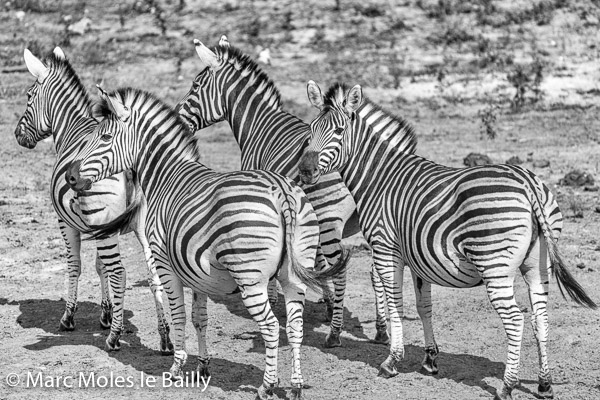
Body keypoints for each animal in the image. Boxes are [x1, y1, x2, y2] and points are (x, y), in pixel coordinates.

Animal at [14, 46, 172, 354]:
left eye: (28, 96)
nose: (17, 136)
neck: (71, 127)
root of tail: (132, 166)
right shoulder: (101, 226)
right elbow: (101, 267)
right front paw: (107, 312)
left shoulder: (67, 223)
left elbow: (76, 265)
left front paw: (69, 317)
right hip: (145, 226)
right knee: (153, 276)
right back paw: (165, 338)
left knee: (120, 273)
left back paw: (115, 337)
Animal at [63, 86, 344, 398]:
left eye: (105, 137)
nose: (70, 176)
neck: (166, 176)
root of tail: (281, 192)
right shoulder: (197, 274)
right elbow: (200, 319)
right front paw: (203, 367)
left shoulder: (165, 265)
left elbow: (179, 316)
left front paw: (176, 367)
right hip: (293, 275)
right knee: (295, 327)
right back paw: (295, 386)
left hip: (250, 277)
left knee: (271, 327)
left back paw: (266, 386)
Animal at [176, 36, 386, 346]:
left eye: (195, 86)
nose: (177, 119)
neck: (258, 124)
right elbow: (313, 261)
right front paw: (326, 302)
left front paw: (277, 298)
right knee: (377, 270)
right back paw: (382, 330)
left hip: (331, 220)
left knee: (344, 270)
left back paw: (335, 334)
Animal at [298, 81, 596, 400]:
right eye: (311, 130)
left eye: (339, 131)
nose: (304, 171)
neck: (379, 177)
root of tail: (527, 182)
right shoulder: (419, 258)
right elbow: (423, 307)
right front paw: (430, 360)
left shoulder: (385, 248)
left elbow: (394, 303)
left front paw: (392, 360)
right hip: (537, 265)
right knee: (541, 317)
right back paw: (544, 384)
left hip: (495, 264)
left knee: (516, 320)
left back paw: (506, 386)